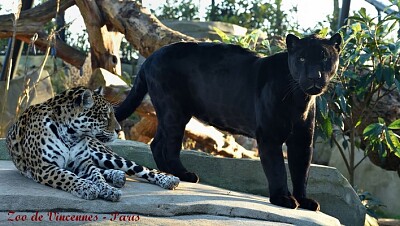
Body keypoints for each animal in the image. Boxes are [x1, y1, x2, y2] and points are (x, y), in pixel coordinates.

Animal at [6, 86, 180, 201]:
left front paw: (108, 190)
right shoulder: (44, 166)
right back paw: (117, 176)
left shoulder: (84, 164)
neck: (72, 135)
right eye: (105, 116)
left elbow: (97, 177)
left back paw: (168, 180)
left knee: (141, 168)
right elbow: (68, 176)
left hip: (104, 155)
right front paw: (87, 187)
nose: (119, 129)